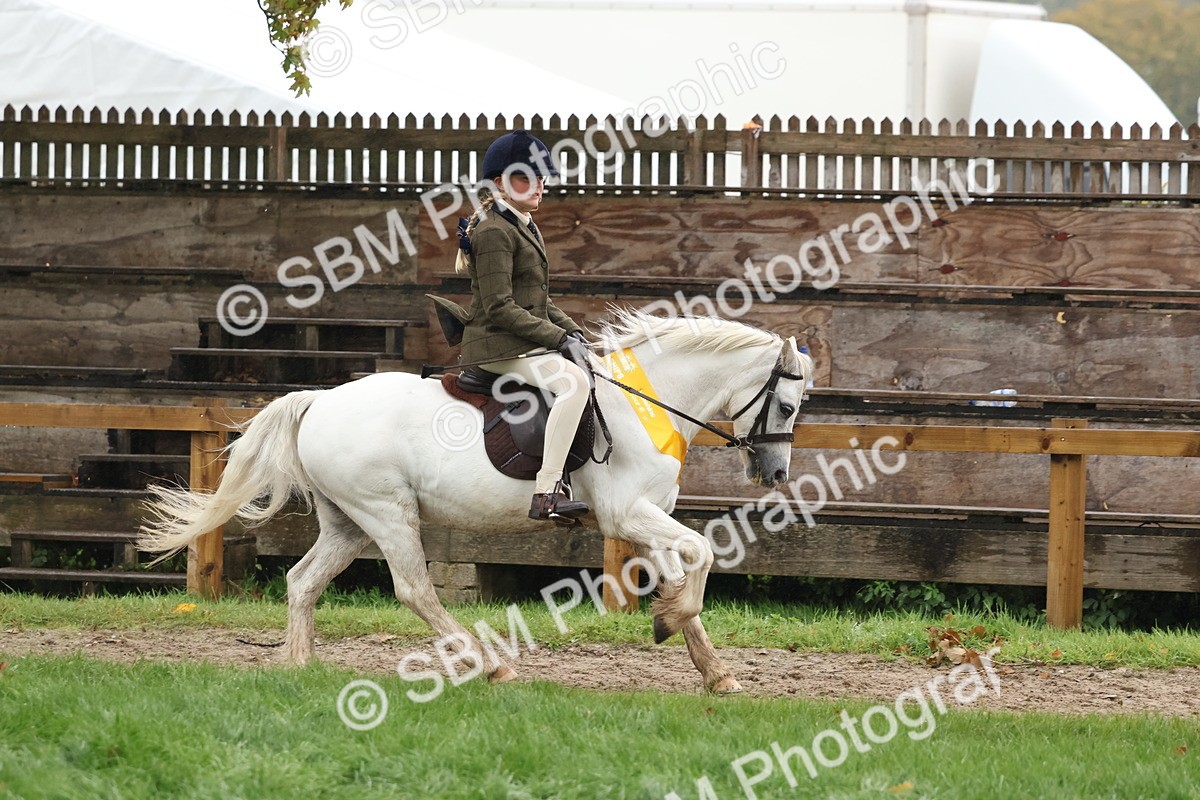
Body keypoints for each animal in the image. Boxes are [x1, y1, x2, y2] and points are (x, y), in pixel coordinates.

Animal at [139, 309, 813, 693]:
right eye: (785, 405)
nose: (775, 472)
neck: (646, 403)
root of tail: (320, 400)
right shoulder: (626, 514)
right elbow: (702, 554)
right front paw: (668, 622)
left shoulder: (652, 517)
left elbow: (689, 566)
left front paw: (712, 668)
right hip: (388, 513)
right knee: (414, 589)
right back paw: (488, 666)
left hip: (348, 522)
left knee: (303, 581)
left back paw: (300, 667)